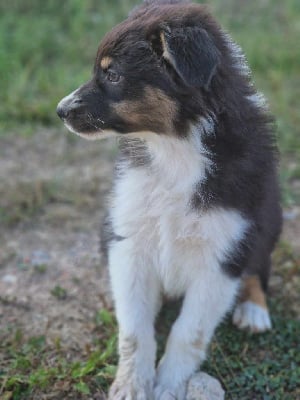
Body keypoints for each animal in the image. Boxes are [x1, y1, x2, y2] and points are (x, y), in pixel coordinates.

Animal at [55, 1, 282, 398]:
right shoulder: (127, 240)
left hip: (271, 214)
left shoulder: (221, 257)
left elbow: (188, 332)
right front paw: (131, 385)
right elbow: (134, 331)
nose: (60, 110)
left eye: (113, 75)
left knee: (259, 265)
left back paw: (254, 309)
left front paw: (168, 386)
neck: (175, 147)